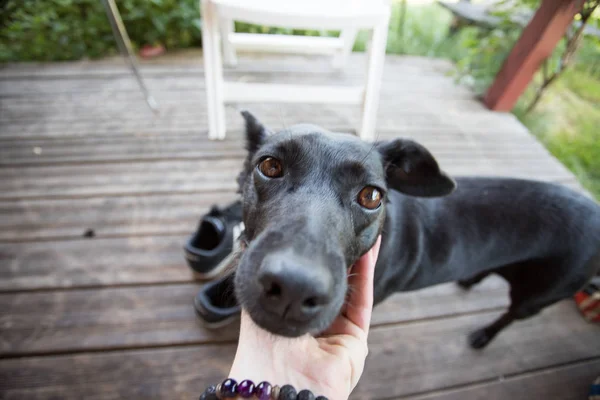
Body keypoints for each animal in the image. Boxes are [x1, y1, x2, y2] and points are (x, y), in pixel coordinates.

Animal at [232, 111, 600, 348]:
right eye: (269, 166)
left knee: (509, 316)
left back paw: (484, 336)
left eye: (371, 196)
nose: (293, 289)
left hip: (536, 298)